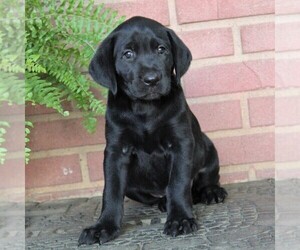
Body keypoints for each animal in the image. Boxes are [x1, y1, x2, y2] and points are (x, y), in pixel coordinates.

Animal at [78, 16, 227, 246]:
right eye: (127, 54)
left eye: (161, 49)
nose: (151, 79)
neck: (145, 109)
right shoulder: (115, 151)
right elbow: (111, 190)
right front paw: (103, 226)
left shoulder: (181, 143)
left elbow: (178, 183)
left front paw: (180, 219)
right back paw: (164, 202)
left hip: (207, 147)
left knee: (204, 179)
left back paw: (211, 192)